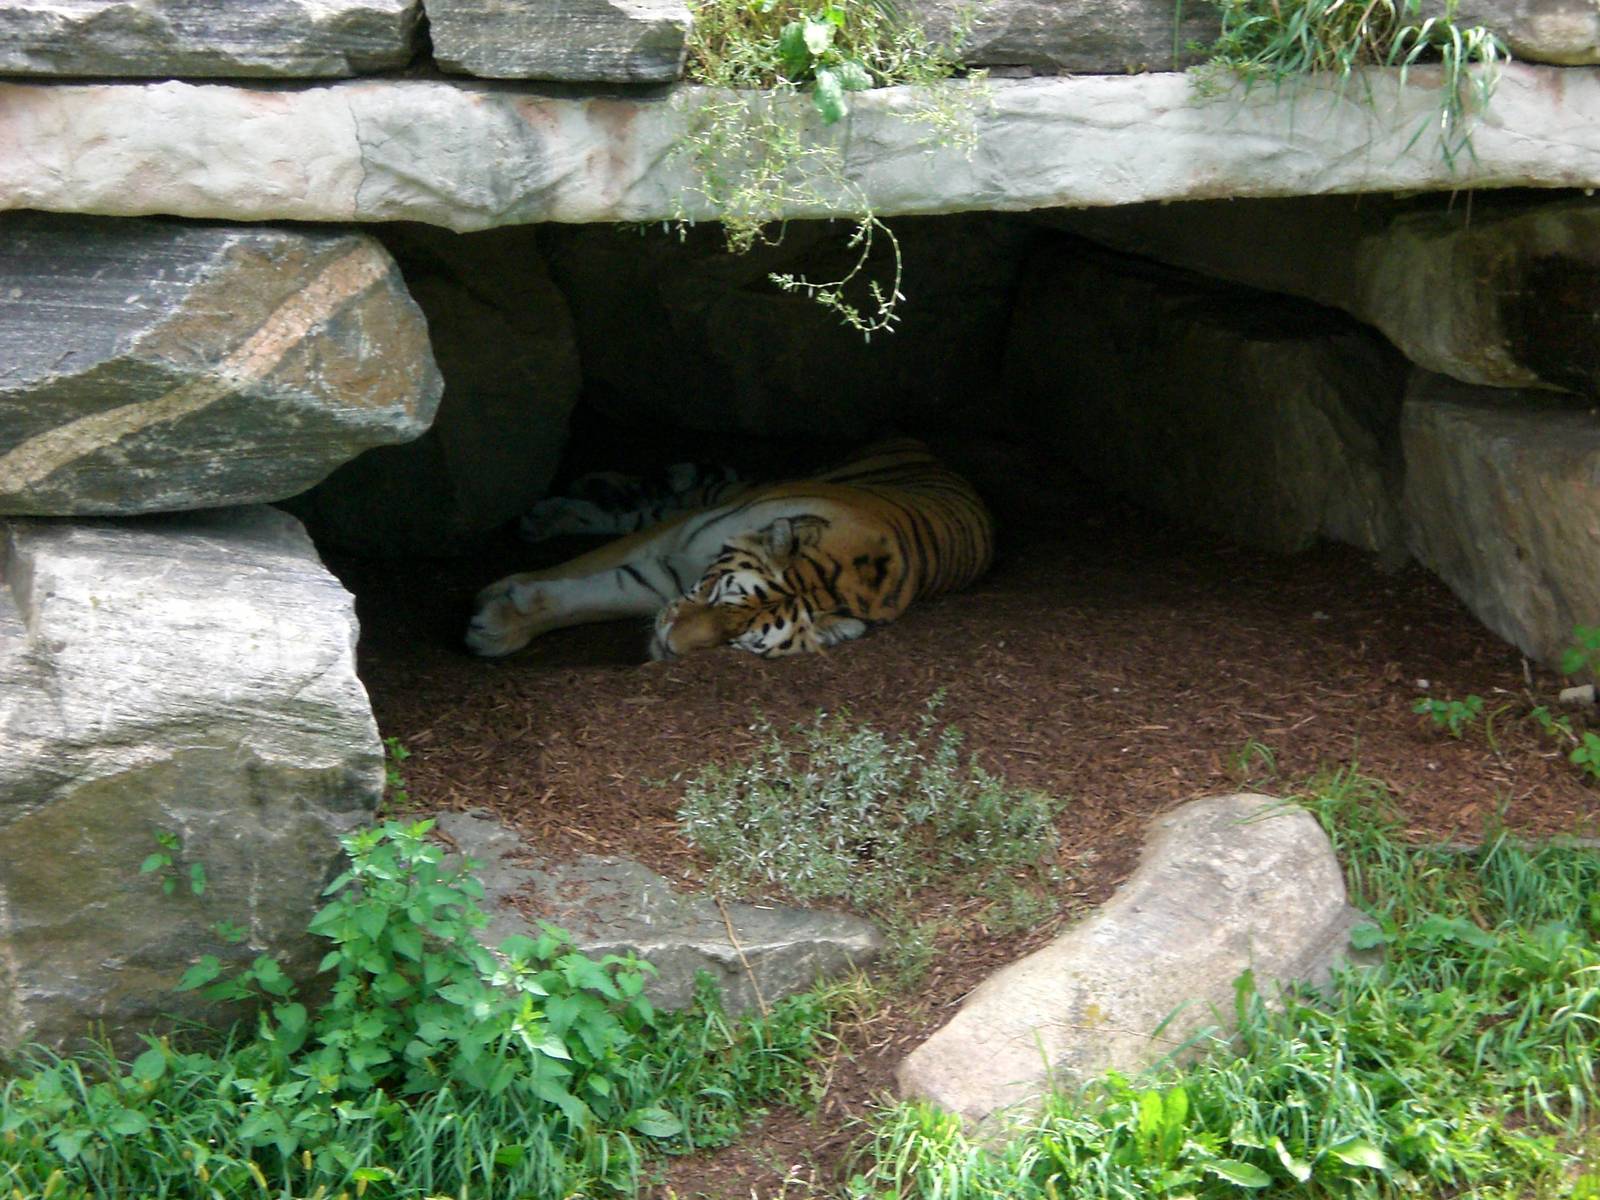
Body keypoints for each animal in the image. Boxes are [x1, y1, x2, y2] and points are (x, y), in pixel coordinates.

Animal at [466, 439, 994, 661]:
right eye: (721, 595)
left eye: (738, 641)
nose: (670, 649)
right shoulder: (672, 540)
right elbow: (586, 568)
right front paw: (497, 600)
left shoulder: (661, 581)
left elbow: (594, 598)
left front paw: (498, 622)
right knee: (658, 501)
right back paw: (554, 510)